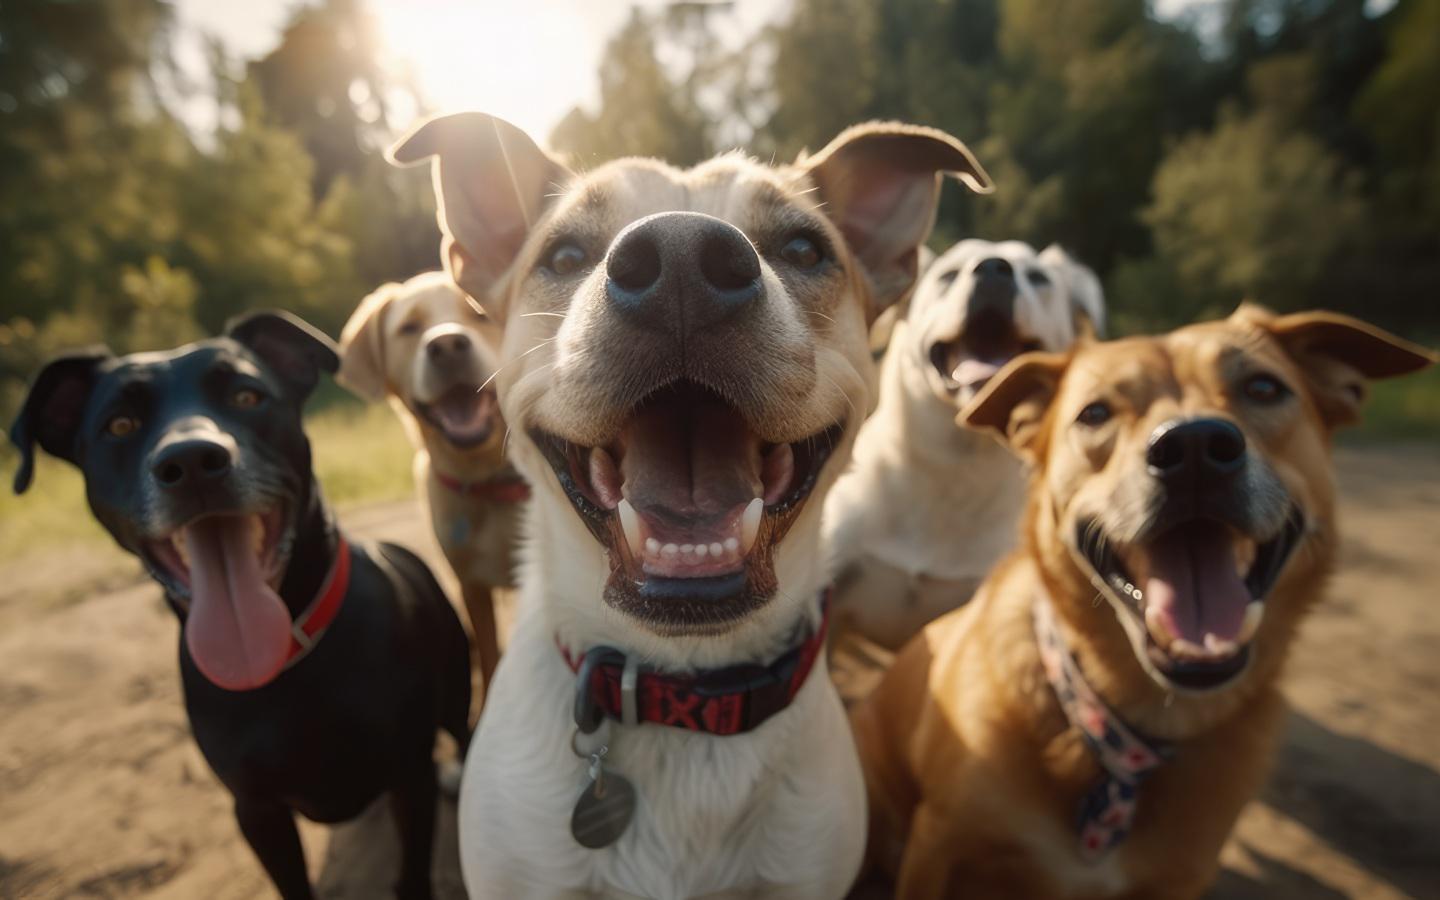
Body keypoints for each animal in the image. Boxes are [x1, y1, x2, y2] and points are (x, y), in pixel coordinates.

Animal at [11, 311, 472, 898]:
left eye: (248, 396)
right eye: (119, 426)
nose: (190, 461)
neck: (288, 660)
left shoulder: (410, 776)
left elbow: (410, 875)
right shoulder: (256, 811)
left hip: (456, 688)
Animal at [336, 267, 524, 688]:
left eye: (480, 313)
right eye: (409, 327)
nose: (448, 345)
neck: (489, 479)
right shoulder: (471, 586)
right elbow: (491, 658)